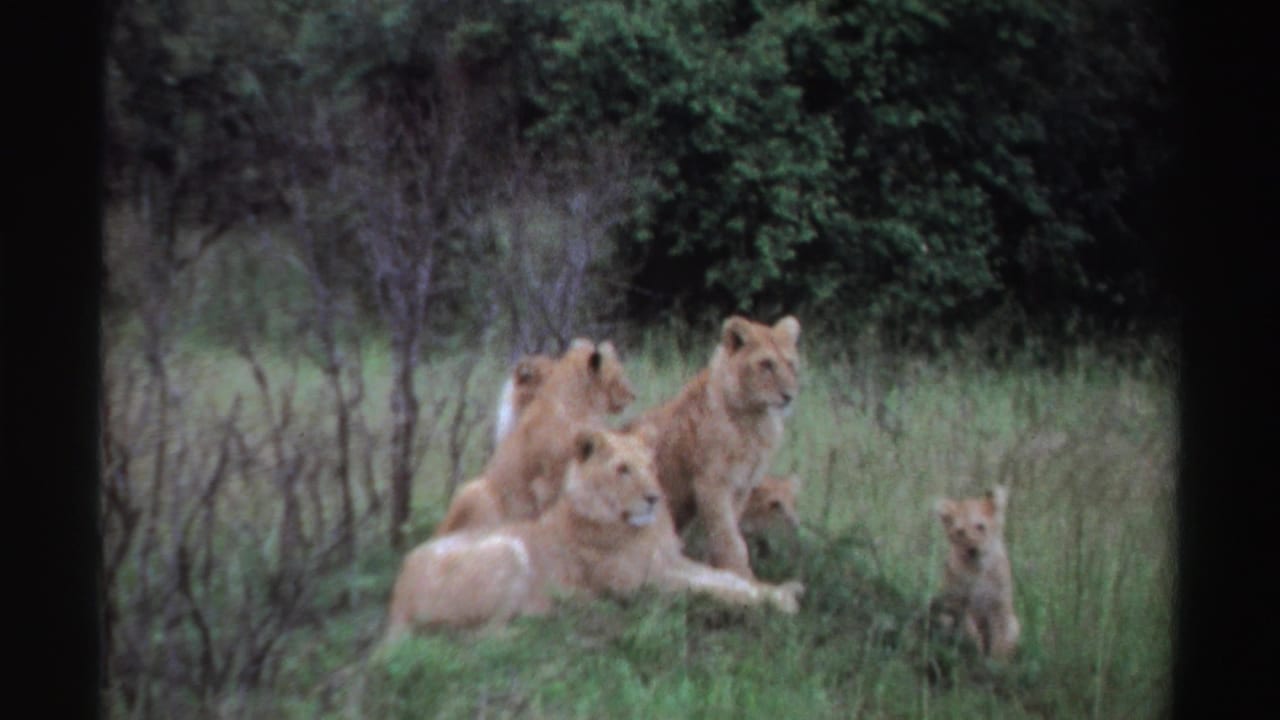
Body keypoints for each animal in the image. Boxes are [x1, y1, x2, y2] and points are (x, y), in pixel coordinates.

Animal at [384, 427, 805, 640]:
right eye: (622, 469)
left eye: (650, 466)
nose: (654, 498)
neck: (639, 528)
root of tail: (398, 593)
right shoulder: (643, 585)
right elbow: (713, 589)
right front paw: (779, 603)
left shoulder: (672, 561)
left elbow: (725, 578)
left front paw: (782, 589)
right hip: (508, 549)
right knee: (480, 634)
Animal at [625, 315, 800, 579]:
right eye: (766, 364)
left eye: (790, 364)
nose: (789, 396)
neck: (756, 419)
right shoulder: (711, 485)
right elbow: (730, 540)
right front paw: (743, 577)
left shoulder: (741, 487)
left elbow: (725, 535)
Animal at [931, 485, 1020, 661]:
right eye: (960, 532)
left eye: (980, 526)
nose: (972, 549)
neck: (979, 568)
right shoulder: (958, 602)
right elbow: (970, 630)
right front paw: (976, 648)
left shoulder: (999, 605)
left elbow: (1000, 638)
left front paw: (996, 661)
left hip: (1014, 623)